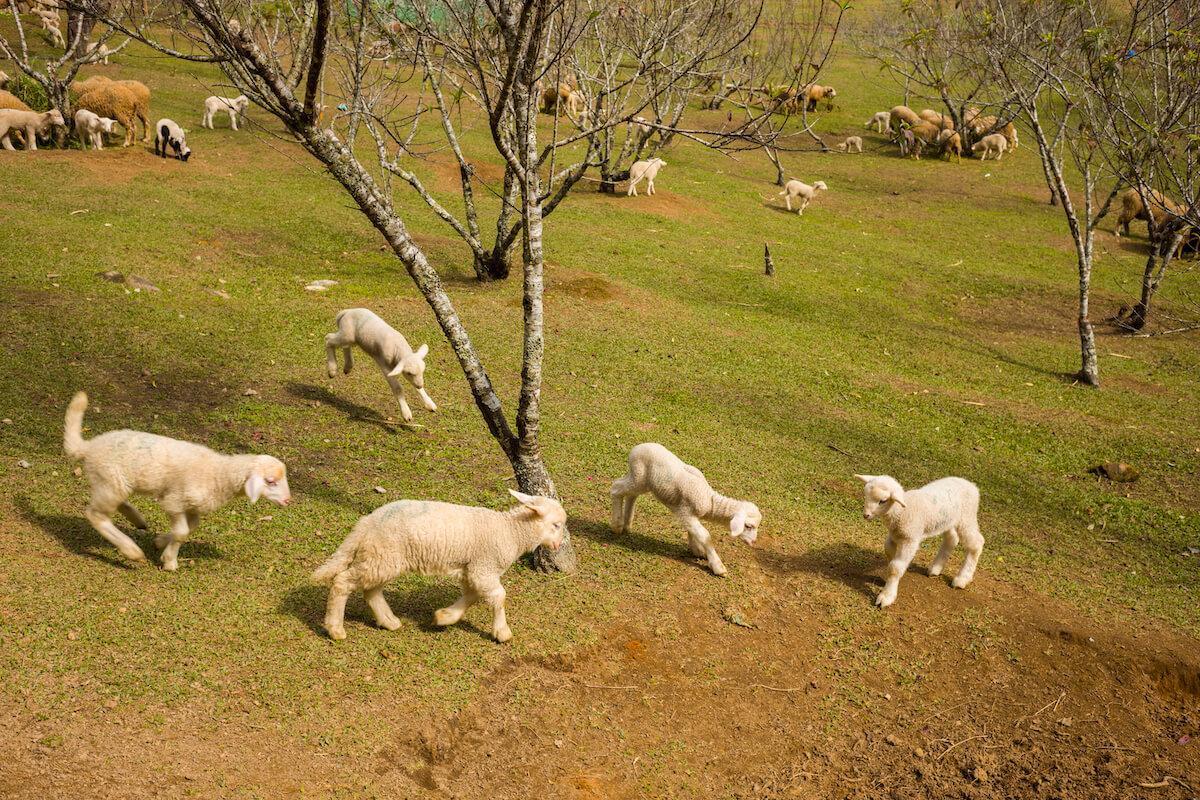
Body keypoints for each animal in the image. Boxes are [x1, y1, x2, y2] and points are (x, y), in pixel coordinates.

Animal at [63, 392, 291, 570]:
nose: (288, 501)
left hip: (114, 484)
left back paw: (137, 520)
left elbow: (191, 527)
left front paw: (160, 542)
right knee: (96, 515)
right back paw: (132, 550)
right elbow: (182, 532)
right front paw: (169, 561)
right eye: (270, 481)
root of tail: (88, 447)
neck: (219, 474)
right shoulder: (174, 501)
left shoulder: (192, 507)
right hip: (110, 480)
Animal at [313, 490, 566, 642]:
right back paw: (335, 629)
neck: (511, 531)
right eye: (555, 525)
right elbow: (499, 596)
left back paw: (389, 621)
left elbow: (471, 596)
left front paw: (444, 617)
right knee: (342, 582)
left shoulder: (472, 568)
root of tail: (367, 522)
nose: (557, 545)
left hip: (382, 558)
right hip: (382, 555)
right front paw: (502, 632)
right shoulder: (484, 567)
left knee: (371, 590)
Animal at [609, 443, 761, 577]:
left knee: (631, 494)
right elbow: (705, 535)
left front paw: (697, 550)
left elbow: (693, 532)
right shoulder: (685, 512)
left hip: (641, 481)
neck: (709, 500)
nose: (753, 542)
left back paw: (627, 524)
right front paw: (718, 566)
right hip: (638, 475)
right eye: (748, 526)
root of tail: (636, 448)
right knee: (616, 488)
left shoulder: (691, 515)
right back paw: (617, 525)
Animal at [854, 474, 983, 608]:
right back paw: (935, 568)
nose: (866, 515)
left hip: (966, 518)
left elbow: (895, 567)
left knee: (976, 544)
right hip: (947, 520)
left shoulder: (910, 540)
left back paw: (962, 578)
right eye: (866, 495)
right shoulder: (893, 536)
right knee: (952, 538)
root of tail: (971, 485)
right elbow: (889, 554)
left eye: (882, 501)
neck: (902, 511)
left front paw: (887, 596)